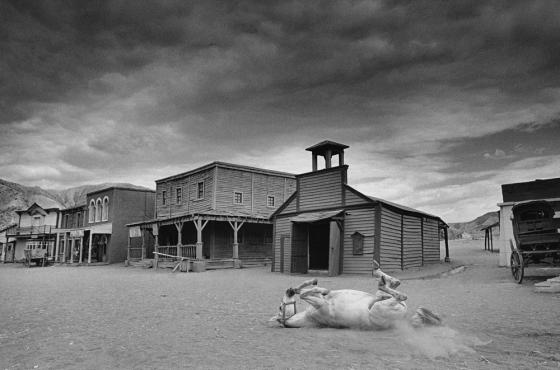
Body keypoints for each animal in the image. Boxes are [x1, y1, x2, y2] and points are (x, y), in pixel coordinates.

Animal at [272, 260, 442, 330]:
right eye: (280, 307)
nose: (288, 290)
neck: (309, 318)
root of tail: (403, 320)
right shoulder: (321, 304)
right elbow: (305, 294)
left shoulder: (320, 301)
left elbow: (308, 290)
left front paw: (312, 285)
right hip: (380, 306)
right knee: (398, 294)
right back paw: (380, 278)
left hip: (380, 298)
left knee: (393, 284)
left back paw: (378, 271)